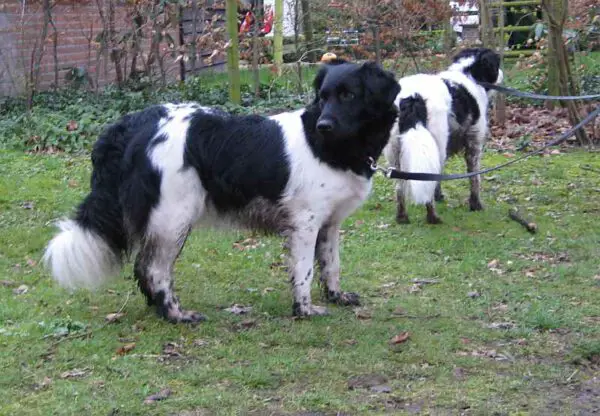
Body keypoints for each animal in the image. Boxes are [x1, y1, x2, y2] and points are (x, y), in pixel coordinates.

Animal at [42, 60, 398, 324]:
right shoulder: (305, 222)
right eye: (323, 97)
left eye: (349, 95)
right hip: (174, 217)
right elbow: (304, 270)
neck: (330, 147)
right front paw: (304, 309)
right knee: (153, 269)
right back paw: (176, 314)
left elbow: (331, 264)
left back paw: (160, 311)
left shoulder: (329, 223)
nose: (324, 125)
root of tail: (132, 123)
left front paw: (337, 297)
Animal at [384, 48, 502, 224]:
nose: (501, 74)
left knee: (400, 186)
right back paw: (432, 216)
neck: (468, 74)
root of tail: (412, 97)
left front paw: (439, 195)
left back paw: (402, 217)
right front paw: (475, 205)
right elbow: (474, 178)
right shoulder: (474, 143)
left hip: (395, 152)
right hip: (435, 142)